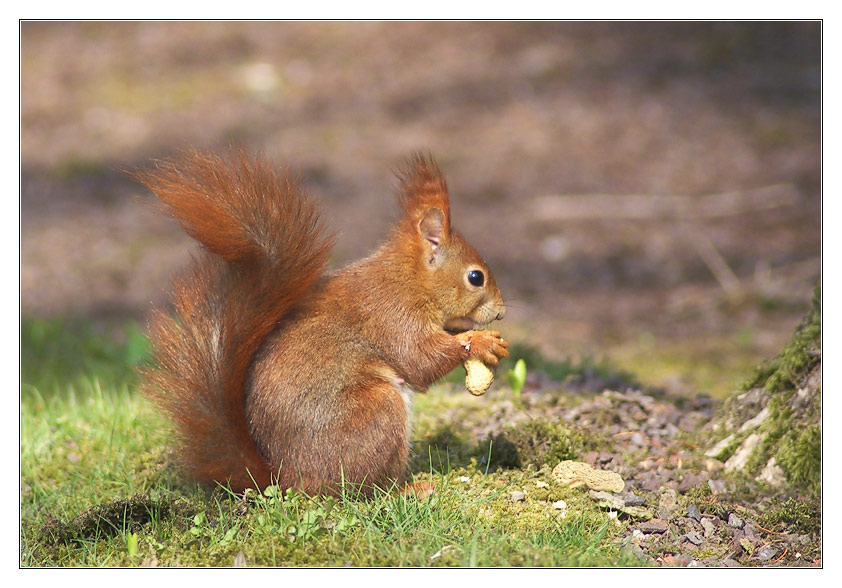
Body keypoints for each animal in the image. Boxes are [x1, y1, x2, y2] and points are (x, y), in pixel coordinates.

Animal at [137, 152, 506, 496]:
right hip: (378, 413)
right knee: (363, 490)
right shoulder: (394, 316)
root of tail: (287, 478)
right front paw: (482, 341)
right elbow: (420, 360)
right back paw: (408, 490)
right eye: (476, 277)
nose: (501, 312)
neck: (410, 279)